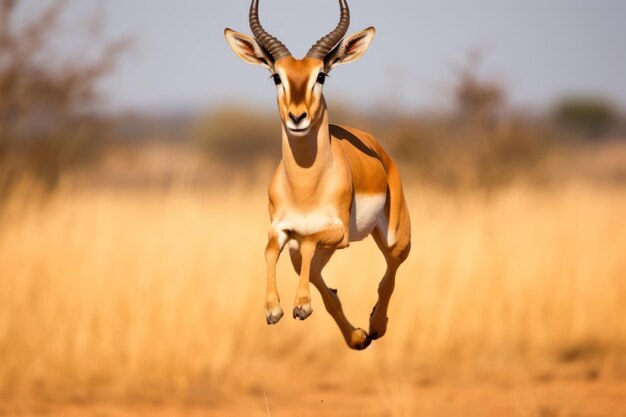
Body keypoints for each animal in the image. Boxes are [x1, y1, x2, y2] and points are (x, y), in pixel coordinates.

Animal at [224, 0, 410, 350]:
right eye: (276, 77)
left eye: (320, 75)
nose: (297, 117)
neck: (306, 189)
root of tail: (378, 148)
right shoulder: (282, 229)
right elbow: (270, 250)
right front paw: (275, 310)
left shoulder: (337, 232)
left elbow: (310, 242)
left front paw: (300, 306)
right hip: (307, 251)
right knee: (320, 279)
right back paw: (358, 338)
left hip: (395, 238)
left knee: (390, 272)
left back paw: (375, 327)